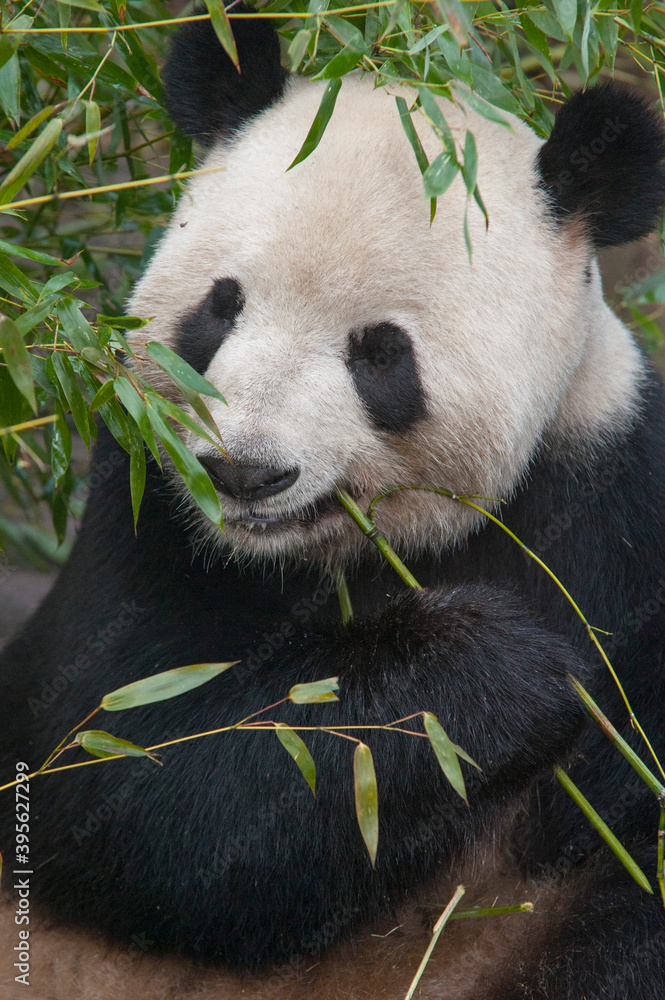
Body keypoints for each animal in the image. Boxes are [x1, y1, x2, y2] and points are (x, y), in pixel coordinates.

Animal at [2, 11, 665, 1000]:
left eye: (380, 352)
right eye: (220, 307)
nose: (244, 473)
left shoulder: (612, 504)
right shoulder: (147, 510)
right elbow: (128, 771)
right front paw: (497, 668)